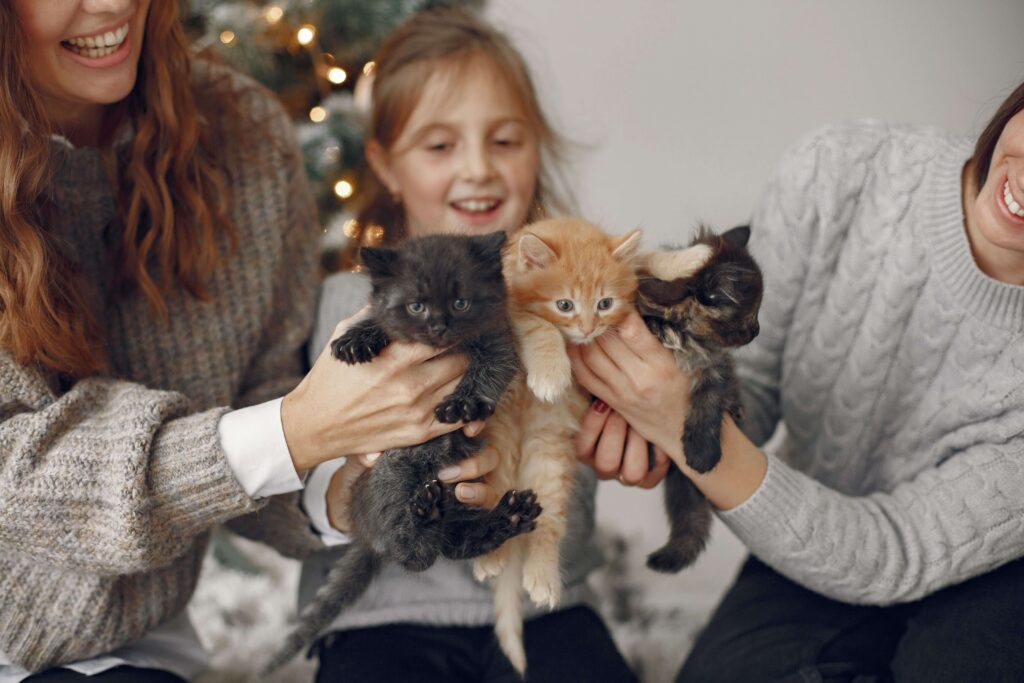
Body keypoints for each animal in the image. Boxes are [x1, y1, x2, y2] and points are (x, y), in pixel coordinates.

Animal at [272, 232, 544, 671]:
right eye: (416, 305)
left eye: (460, 303)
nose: (438, 326)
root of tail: (365, 534)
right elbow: (379, 318)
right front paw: (356, 338)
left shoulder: (499, 342)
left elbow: (487, 372)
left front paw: (464, 404)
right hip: (394, 475)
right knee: (415, 555)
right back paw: (427, 515)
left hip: (461, 492)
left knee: (454, 543)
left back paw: (507, 515)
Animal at [473, 218, 638, 671]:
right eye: (564, 305)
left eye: (604, 303)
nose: (587, 329)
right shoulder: (505, 308)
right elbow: (536, 324)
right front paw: (550, 374)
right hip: (492, 452)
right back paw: (490, 558)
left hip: (549, 455)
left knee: (547, 525)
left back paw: (542, 578)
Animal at [638, 224, 761, 573]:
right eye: (750, 319)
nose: (758, 331)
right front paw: (660, 328)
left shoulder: (716, 367)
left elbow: (708, 405)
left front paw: (701, 453)